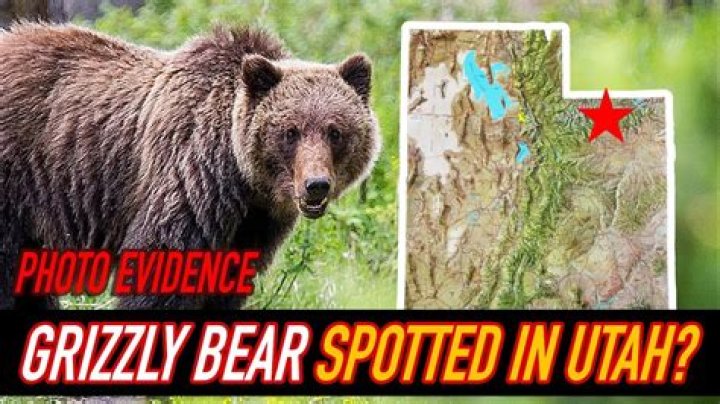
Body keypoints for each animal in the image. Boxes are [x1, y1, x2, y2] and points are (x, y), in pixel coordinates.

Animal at [0, 23, 380, 310]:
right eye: (290, 131)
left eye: (335, 131)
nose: (316, 185)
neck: (243, 181)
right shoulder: (190, 181)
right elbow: (161, 270)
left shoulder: (253, 226)